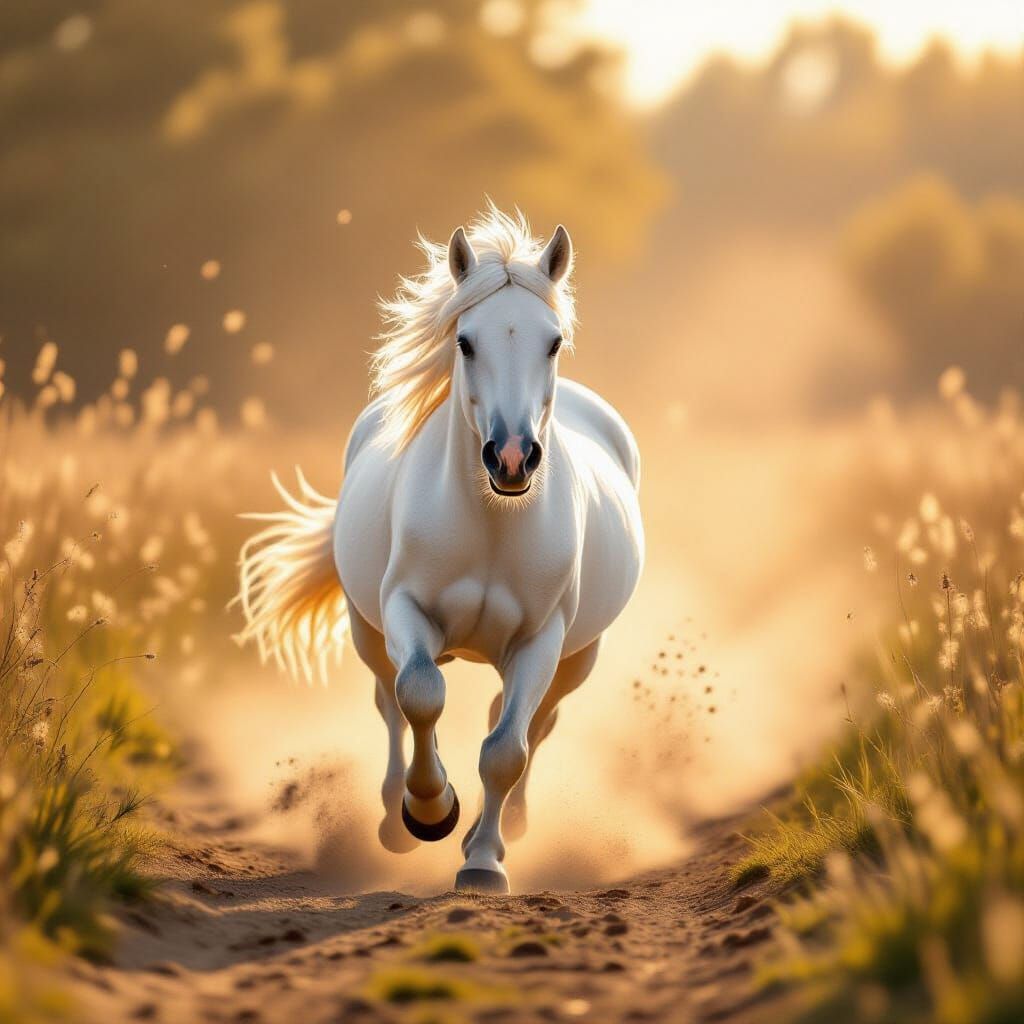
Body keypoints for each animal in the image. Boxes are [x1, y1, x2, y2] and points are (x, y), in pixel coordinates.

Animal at [236, 205, 644, 894]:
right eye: (465, 341)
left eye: (553, 341)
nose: (513, 457)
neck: (491, 525)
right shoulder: (405, 611)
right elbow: (421, 693)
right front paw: (429, 811)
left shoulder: (543, 641)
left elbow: (506, 750)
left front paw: (482, 861)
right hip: (367, 630)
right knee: (390, 701)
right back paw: (392, 820)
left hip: (578, 656)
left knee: (531, 721)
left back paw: (513, 827)